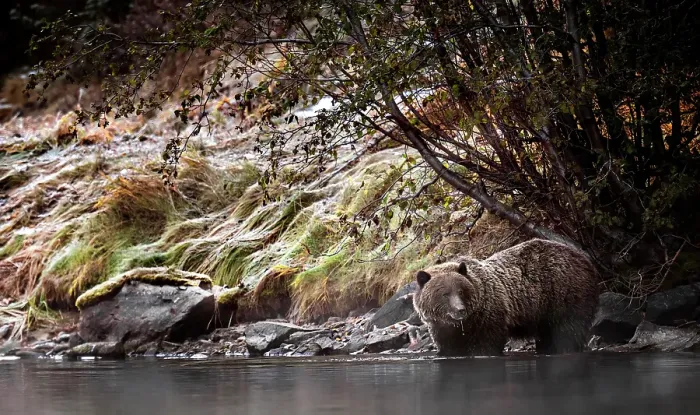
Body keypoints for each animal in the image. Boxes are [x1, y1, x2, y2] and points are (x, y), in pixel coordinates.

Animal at [412, 238, 599, 356]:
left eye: (460, 291)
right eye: (445, 294)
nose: (460, 310)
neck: (464, 323)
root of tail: (584, 258)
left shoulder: (488, 315)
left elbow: (487, 344)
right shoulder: (441, 328)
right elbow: (449, 348)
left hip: (565, 292)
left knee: (569, 329)